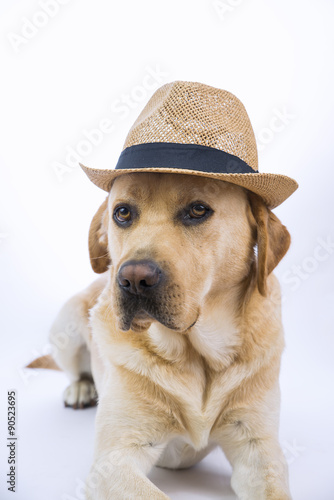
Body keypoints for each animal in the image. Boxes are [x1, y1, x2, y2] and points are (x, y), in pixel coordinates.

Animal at [47, 171, 292, 496]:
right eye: (122, 213)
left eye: (198, 210)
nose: (133, 279)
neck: (197, 357)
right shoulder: (112, 462)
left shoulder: (258, 449)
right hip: (68, 322)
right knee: (74, 369)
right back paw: (80, 388)